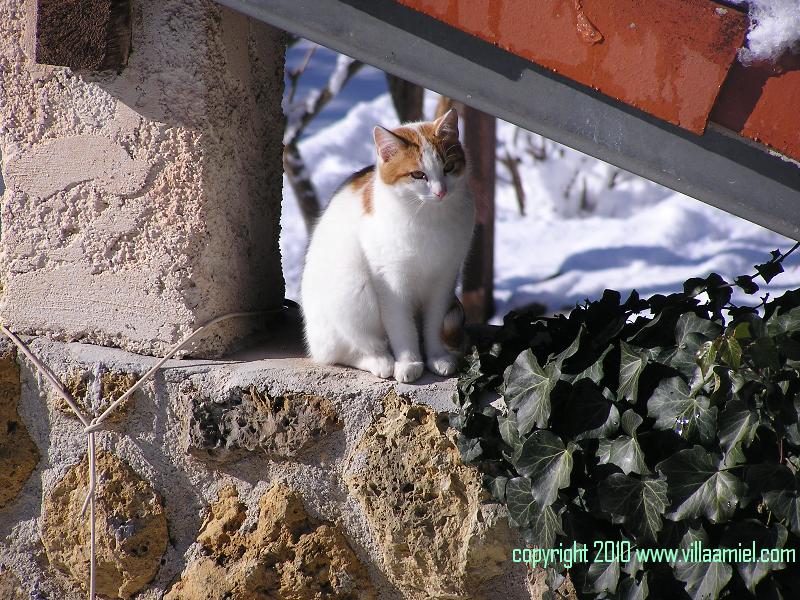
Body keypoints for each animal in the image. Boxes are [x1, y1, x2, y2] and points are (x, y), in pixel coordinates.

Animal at [300, 108, 476, 384]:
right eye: (418, 174)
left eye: (448, 167)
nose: (440, 192)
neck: (429, 218)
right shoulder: (391, 282)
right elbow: (401, 327)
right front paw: (409, 362)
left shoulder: (444, 280)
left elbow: (434, 324)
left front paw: (437, 357)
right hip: (353, 290)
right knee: (346, 351)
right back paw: (381, 360)